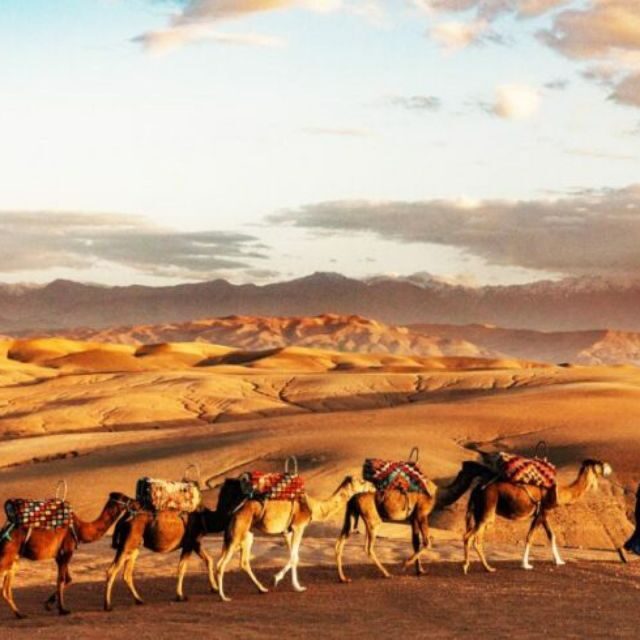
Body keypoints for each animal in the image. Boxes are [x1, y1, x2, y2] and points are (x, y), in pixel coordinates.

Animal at [0, 492, 134, 618]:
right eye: (125, 498)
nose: (133, 501)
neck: (80, 528)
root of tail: (5, 530)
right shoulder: (67, 551)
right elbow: (62, 579)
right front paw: (63, 609)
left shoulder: (60, 556)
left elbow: (68, 579)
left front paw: (48, 604)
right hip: (8, 552)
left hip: (14, 558)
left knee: (6, 588)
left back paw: (20, 614)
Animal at [104, 478, 245, 610]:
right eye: (239, 486)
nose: (248, 494)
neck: (205, 517)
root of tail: (126, 517)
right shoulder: (191, 541)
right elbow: (183, 567)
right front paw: (180, 596)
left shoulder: (193, 543)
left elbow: (207, 560)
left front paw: (213, 588)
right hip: (128, 543)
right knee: (112, 571)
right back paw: (108, 605)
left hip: (134, 546)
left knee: (127, 573)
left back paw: (139, 600)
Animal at [216, 475, 370, 602]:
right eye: (361, 481)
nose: (371, 485)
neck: (313, 506)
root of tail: (233, 510)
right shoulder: (299, 526)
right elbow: (295, 557)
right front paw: (276, 579)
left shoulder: (287, 531)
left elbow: (295, 557)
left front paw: (297, 586)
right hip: (238, 531)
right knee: (222, 564)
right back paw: (223, 596)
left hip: (245, 534)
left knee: (241, 562)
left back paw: (261, 589)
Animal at [461, 458, 612, 574]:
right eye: (599, 464)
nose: (609, 468)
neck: (558, 493)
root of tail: (476, 489)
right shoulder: (541, 512)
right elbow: (530, 537)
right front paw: (525, 565)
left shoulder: (543, 513)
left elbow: (551, 536)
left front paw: (559, 561)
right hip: (488, 509)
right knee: (469, 536)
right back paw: (466, 567)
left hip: (481, 513)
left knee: (477, 539)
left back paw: (489, 568)